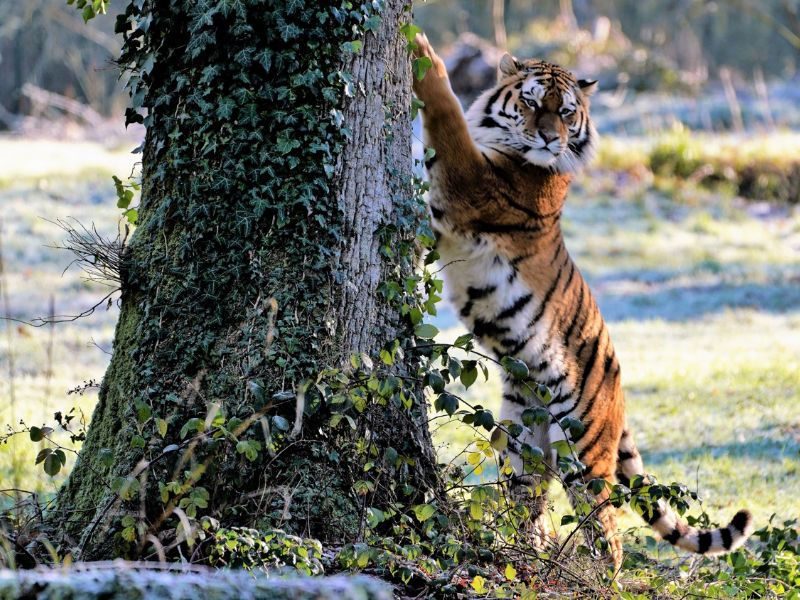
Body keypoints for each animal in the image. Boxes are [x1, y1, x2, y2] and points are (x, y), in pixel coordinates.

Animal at [411, 33, 754, 569]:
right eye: (533, 102)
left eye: (567, 112)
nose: (551, 138)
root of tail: (621, 385)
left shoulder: (471, 184)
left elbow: (446, 118)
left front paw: (424, 52)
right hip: (522, 436)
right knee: (530, 497)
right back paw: (524, 558)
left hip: (585, 446)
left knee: (607, 531)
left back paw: (588, 572)